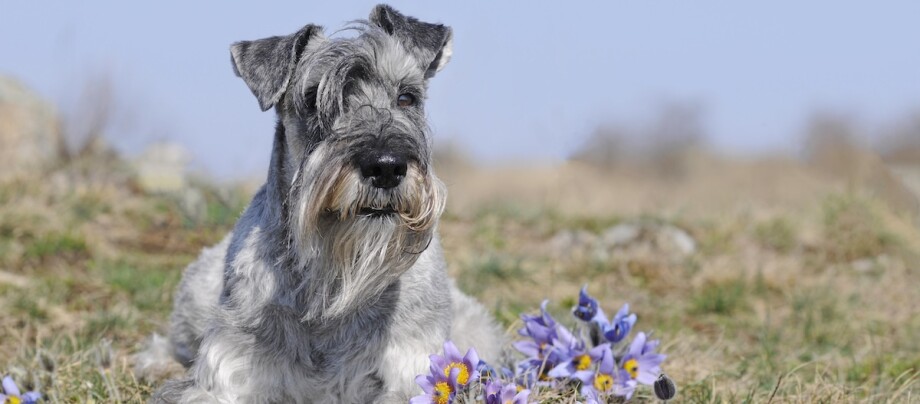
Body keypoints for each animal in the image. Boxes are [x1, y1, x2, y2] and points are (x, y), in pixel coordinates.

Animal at [137, 3, 504, 404]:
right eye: (313, 100)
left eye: (407, 97)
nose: (386, 167)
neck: (332, 284)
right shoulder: (227, 371)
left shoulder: (412, 370)